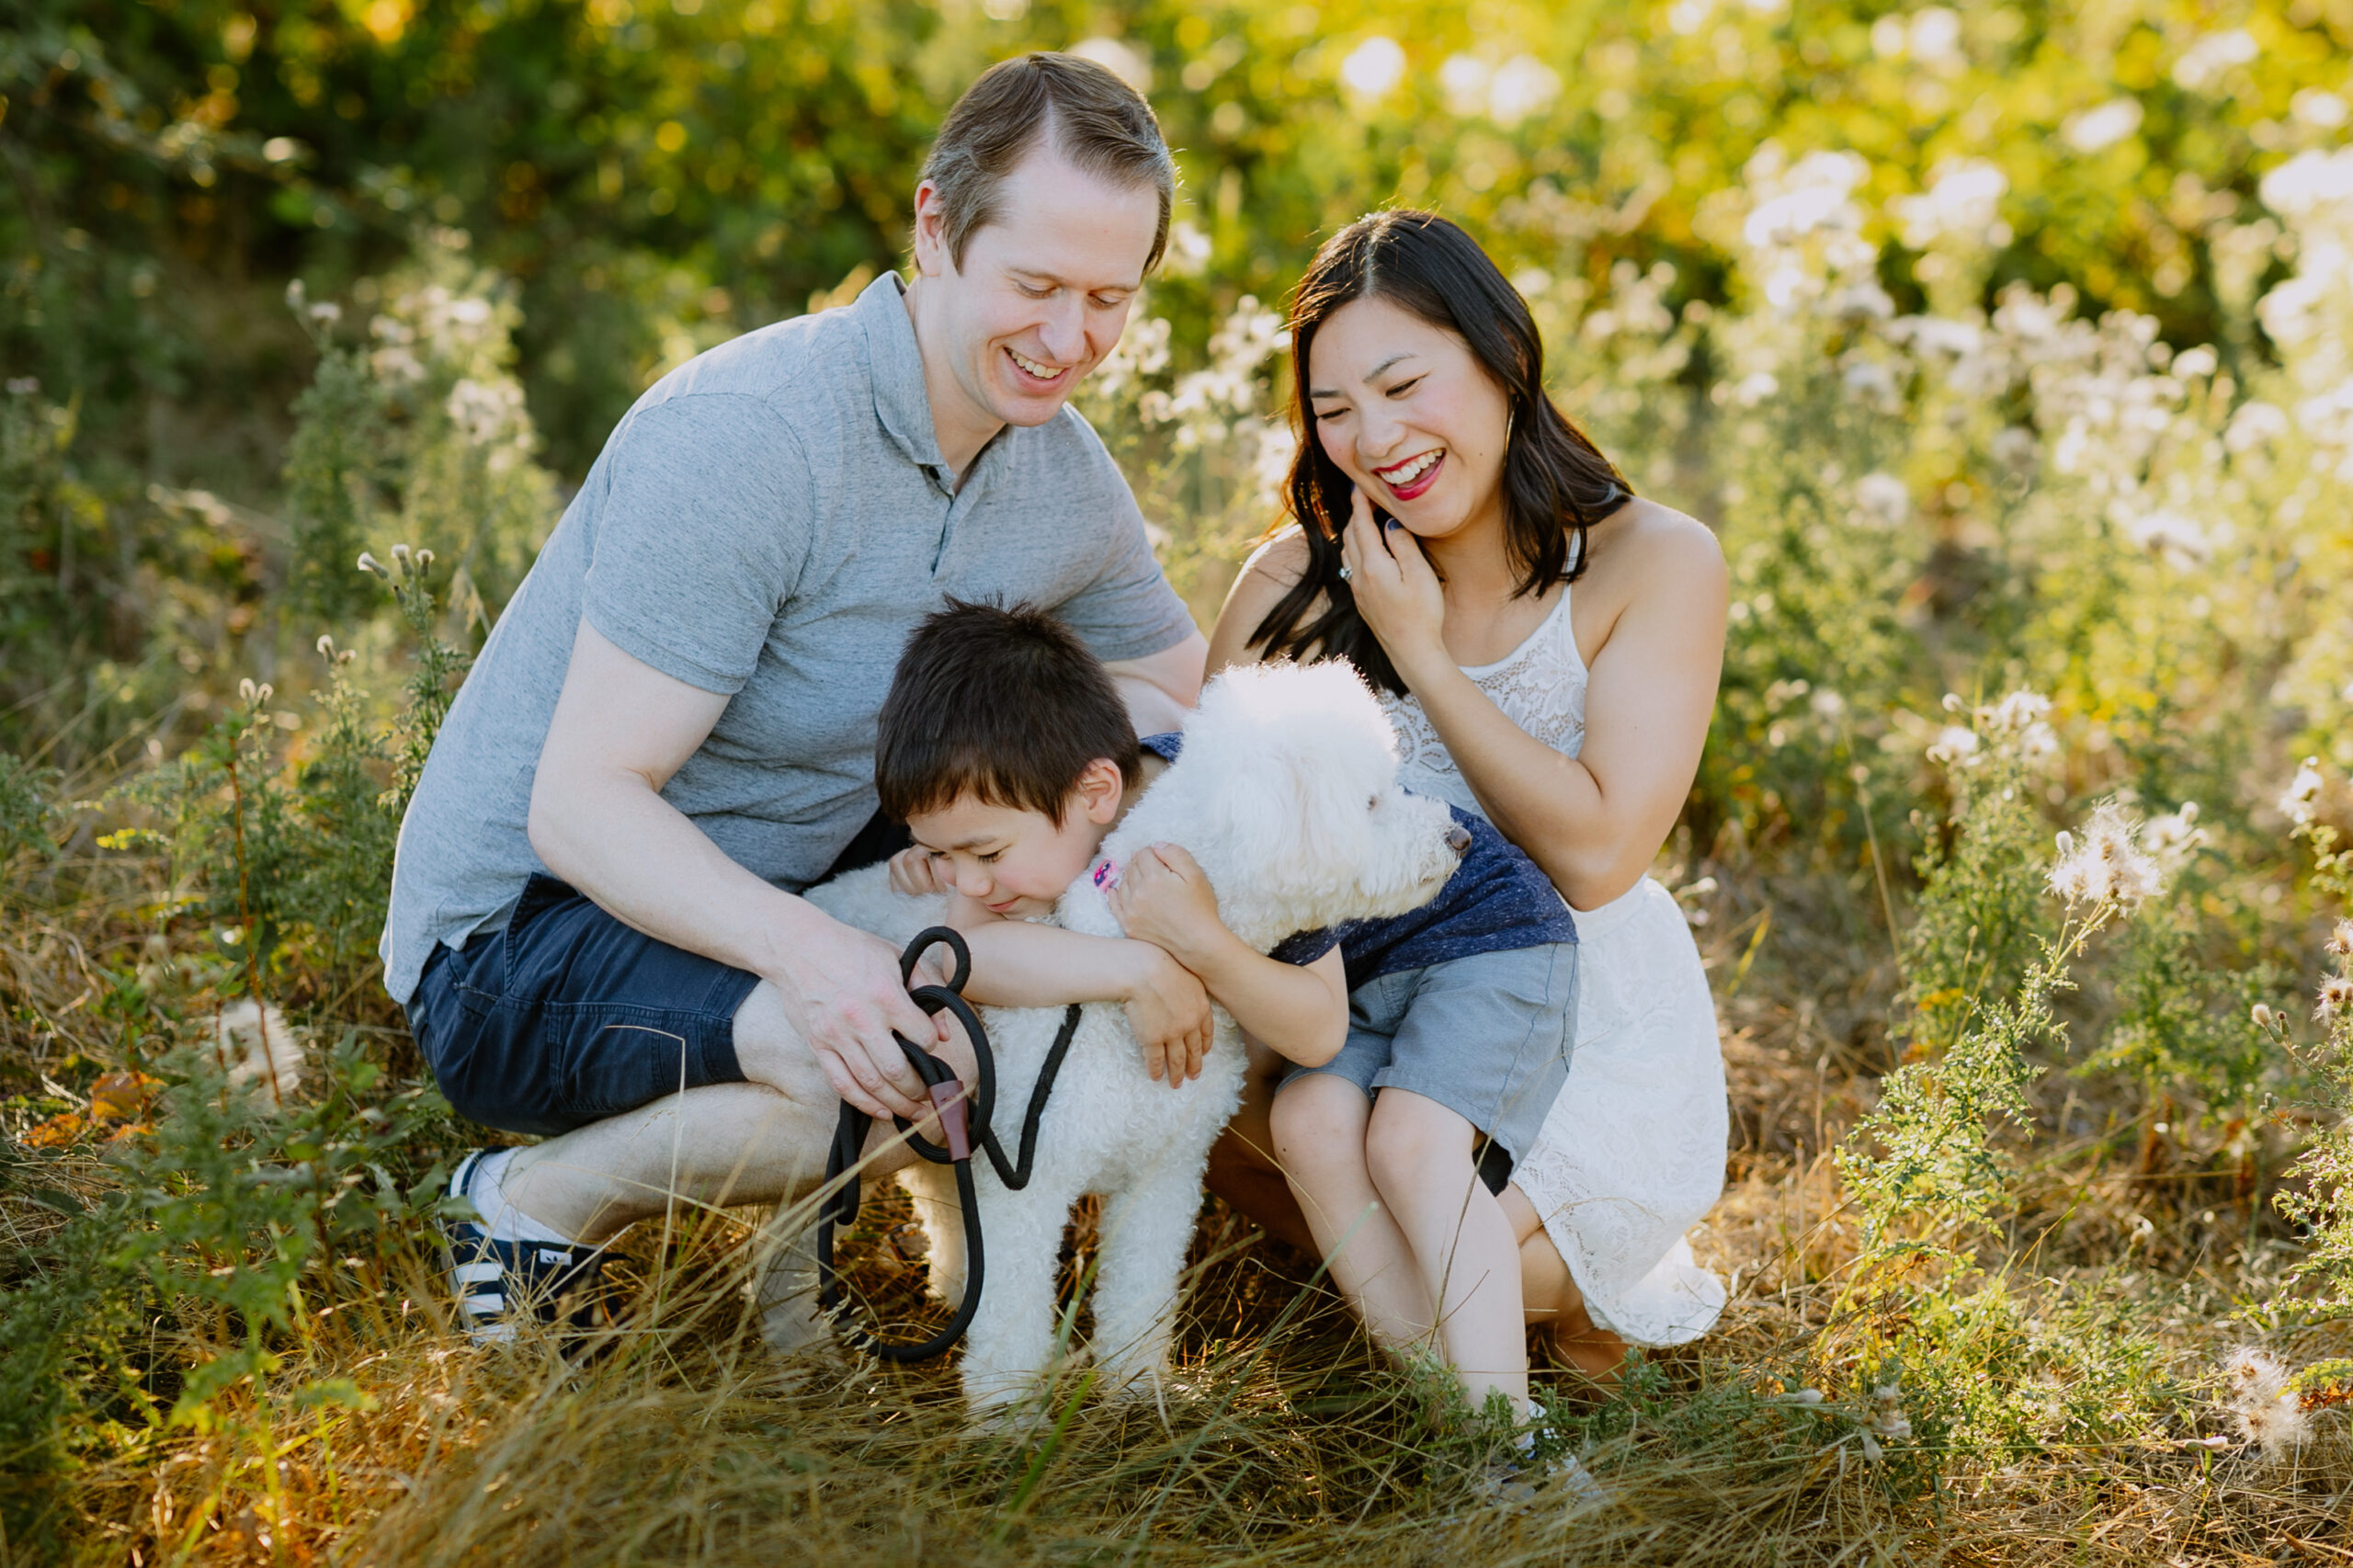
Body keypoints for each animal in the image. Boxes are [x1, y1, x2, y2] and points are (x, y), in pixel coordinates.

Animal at [780, 654, 1459, 1412]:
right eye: (1369, 802)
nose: (1459, 838)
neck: (1117, 983)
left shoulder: (1164, 1172)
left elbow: (1139, 1292)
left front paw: (1137, 1392)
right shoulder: (1030, 1180)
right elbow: (1012, 1314)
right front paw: (1007, 1420)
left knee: (943, 1196)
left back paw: (954, 1289)